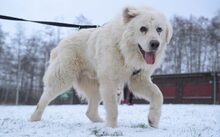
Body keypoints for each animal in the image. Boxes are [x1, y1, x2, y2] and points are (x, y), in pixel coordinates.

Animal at [30, 5, 173, 128]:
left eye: (159, 29)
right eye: (143, 28)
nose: (155, 44)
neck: (124, 49)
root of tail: (59, 46)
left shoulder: (138, 79)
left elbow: (158, 94)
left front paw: (153, 120)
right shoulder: (110, 82)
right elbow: (113, 109)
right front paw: (111, 128)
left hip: (97, 87)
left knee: (90, 112)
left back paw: (100, 122)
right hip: (62, 79)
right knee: (43, 100)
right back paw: (34, 118)